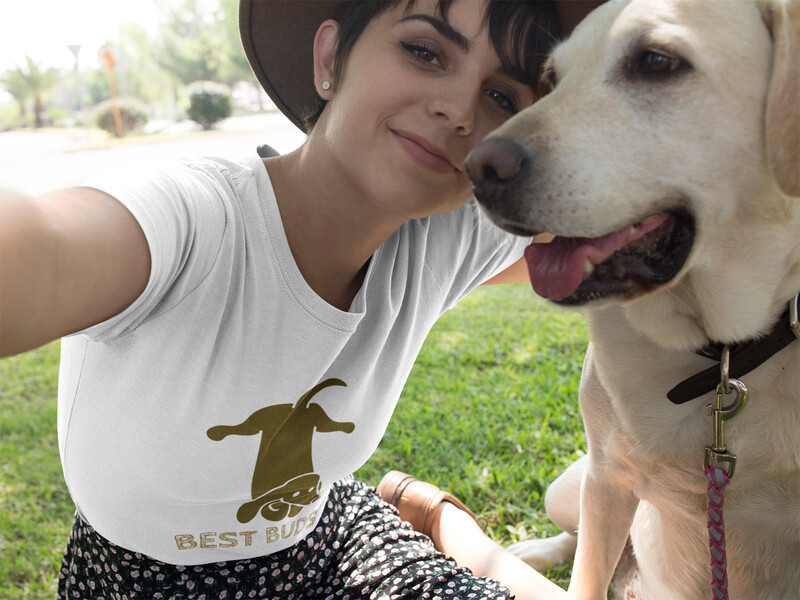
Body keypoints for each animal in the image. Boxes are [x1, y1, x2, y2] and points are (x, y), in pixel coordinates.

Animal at [466, 1, 796, 600]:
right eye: (551, 80)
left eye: (657, 61)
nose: (477, 169)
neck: (722, 355)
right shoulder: (606, 476)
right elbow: (586, 577)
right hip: (569, 484)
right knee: (576, 542)